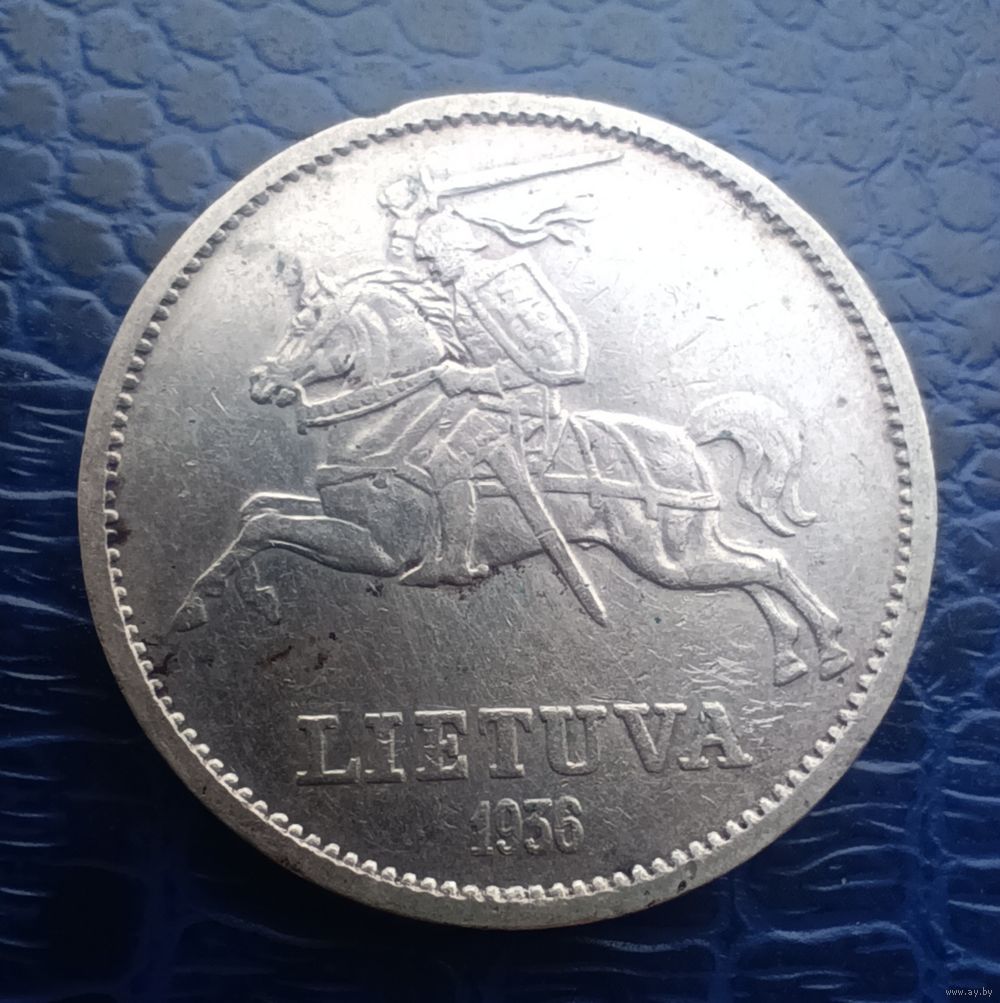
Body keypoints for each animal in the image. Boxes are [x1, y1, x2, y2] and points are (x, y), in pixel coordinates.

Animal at [173, 257, 852, 687]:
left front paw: (195, 608)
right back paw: (791, 659)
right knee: (756, 570)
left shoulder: (379, 550)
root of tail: (685, 437)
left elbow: (264, 527)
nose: (261, 383)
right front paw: (250, 598)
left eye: (304, 324)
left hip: (667, 558)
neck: (393, 417)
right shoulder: (339, 518)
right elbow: (257, 513)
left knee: (768, 567)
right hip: (686, 550)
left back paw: (831, 650)